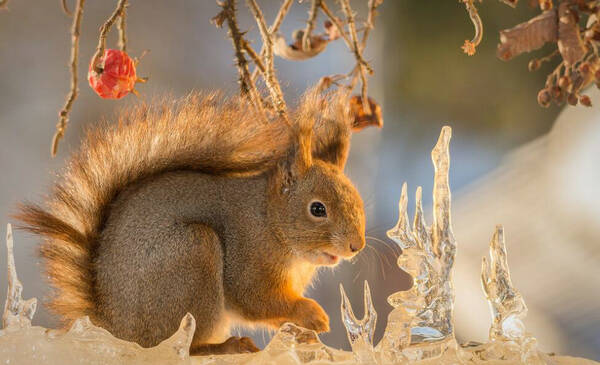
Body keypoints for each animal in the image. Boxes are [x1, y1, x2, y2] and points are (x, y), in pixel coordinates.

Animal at [15, 89, 370, 354]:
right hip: (194, 259)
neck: (270, 222)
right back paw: (226, 347)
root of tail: (116, 328)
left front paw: (302, 334)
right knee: (186, 346)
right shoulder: (248, 257)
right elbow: (257, 300)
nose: (356, 246)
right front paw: (312, 314)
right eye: (317, 209)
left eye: (359, 201)